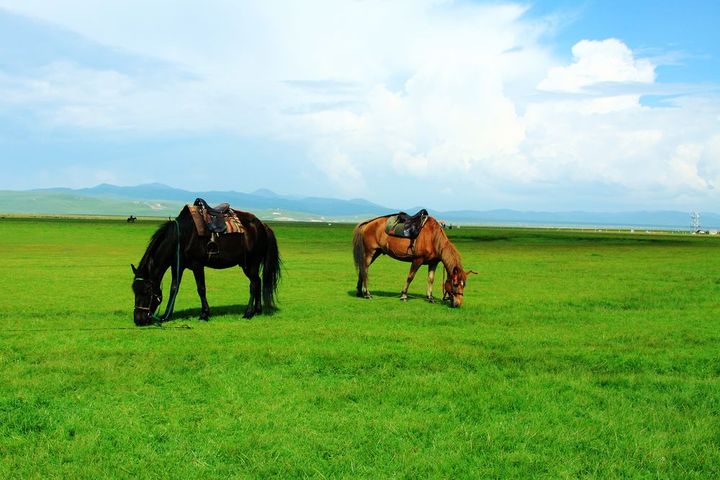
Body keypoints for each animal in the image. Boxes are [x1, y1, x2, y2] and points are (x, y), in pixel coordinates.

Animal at [131, 206, 282, 326]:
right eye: (134, 290)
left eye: (146, 291)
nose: (138, 320)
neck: (182, 236)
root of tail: (263, 226)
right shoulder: (177, 265)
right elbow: (174, 289)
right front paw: (166, 316)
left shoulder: (197, 264)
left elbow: (201, 288)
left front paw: (204, 314)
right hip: (247, 265)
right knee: (258, 281)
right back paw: (258, 311)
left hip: (251, 263)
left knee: (254, 284)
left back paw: (248, 313)